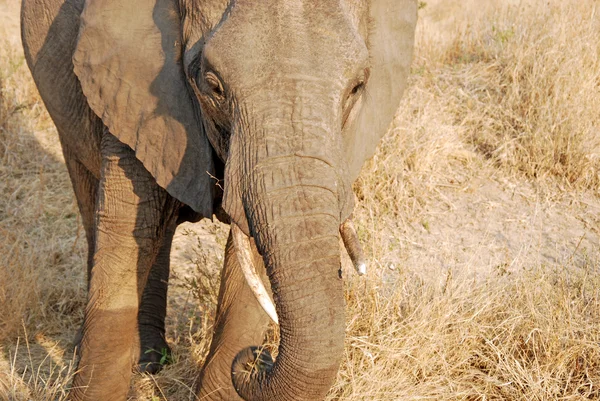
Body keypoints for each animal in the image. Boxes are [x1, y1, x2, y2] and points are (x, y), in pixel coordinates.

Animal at [19, 0, 418, 396]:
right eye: (214, 86)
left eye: (357, 87)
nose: (257, 358)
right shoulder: (129, 89)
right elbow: (124, 239)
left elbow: (251, 258)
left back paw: (151, 361)